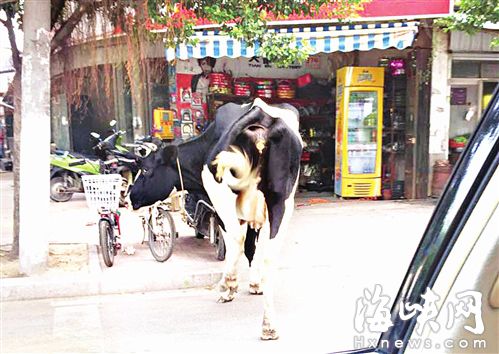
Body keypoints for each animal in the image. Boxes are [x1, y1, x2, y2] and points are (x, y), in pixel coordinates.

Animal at [129, 97, 302, 340]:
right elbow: (253, 246)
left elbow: (238, 244)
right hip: (283, 200)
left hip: (225, 198)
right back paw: (269, 325)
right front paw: (255, 284)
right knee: (268, 254)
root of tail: (260, 114)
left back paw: (228, 287)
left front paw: (231, 287)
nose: (130, 196)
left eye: (145, 170)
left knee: (236, 239)